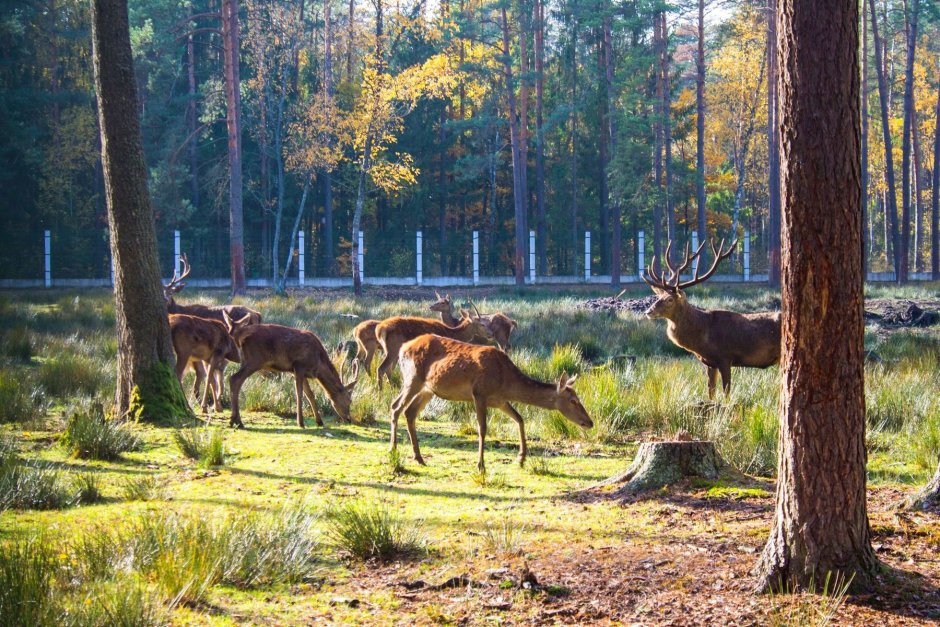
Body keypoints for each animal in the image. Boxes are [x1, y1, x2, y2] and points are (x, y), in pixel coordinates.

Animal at [224, 312, 360, 430]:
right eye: (349, 401)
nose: (349, 419)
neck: (318, 362)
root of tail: (238, 335)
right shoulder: (298, 365)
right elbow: (299, 393)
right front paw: (300, 423)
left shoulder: (302, 372)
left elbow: (310, 394)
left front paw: (319, 421)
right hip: (254, 360)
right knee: (235, 379)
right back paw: (237, 421)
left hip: (248, 360)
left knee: (233, 379)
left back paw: (233, 421)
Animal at [392, 334, 596, 472]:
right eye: (573, 400)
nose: (590, 422)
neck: (505, 382)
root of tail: (402, 348)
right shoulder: (479, 393)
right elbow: (482, 428)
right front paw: (480, 465)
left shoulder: (499, 401)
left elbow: (520, 419)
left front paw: (521, 458)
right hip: (412, 377)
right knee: (395, 407)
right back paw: (393, 450)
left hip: (428, 389)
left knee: (409, 412)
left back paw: (419, 458)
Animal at [644, 238, 784, 400]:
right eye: (659, 296)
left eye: (669, 299)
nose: (648, 311)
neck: (703, 337)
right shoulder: (710, 363)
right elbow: (710, 391)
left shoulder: (725, 357)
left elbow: (726, 392)